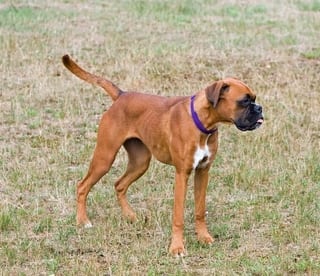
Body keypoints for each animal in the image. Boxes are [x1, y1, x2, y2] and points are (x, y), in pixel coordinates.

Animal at [62, 55, 262, 256]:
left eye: (253, 99)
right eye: (244, 101)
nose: (259, 108)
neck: (201, 122)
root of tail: (121, 95)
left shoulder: (203, 172)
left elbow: (200, 210)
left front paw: (203, 237)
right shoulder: (182, 174)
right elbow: (178, 216)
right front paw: (177, 247)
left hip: (140, 162)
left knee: (119, 185)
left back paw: (130, 216)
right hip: (105, 157)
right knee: (82, 186)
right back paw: (83, 221)